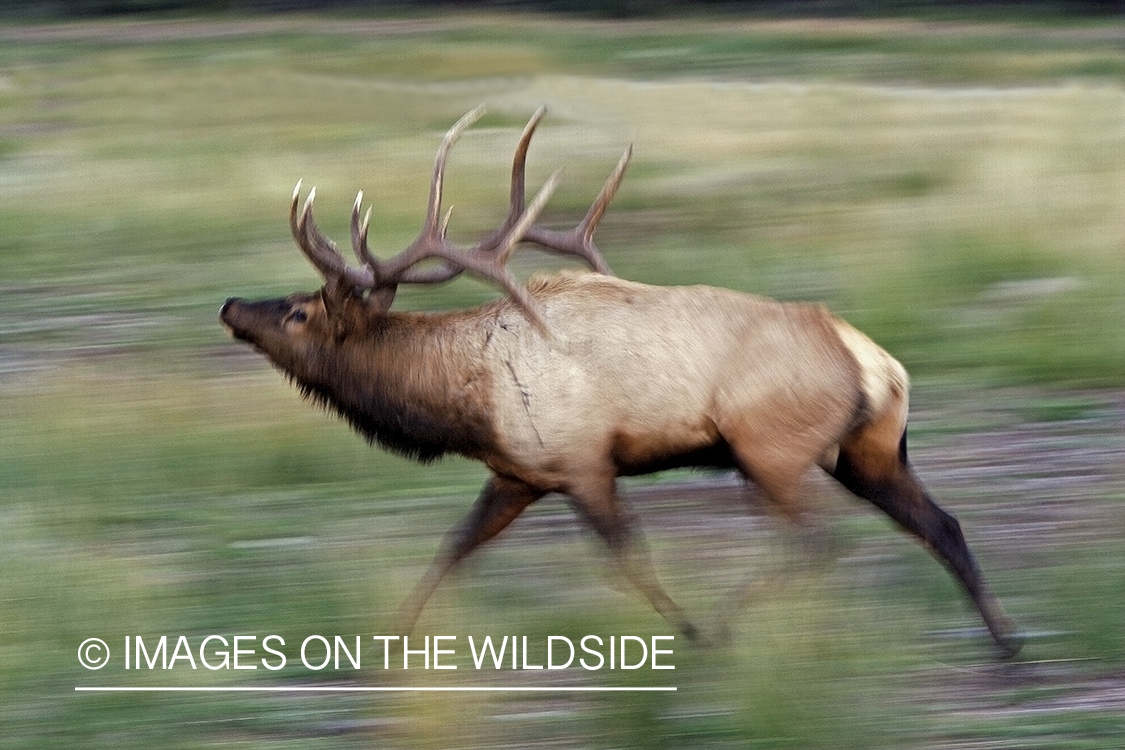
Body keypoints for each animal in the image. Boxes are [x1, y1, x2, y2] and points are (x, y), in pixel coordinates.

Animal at [220, 106, 1023, 658]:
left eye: (297, 311)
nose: (230, 305)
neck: (465, 403)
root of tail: (874, 361)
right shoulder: (518, 472)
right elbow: (453, 547)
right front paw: (387, 638)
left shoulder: (584, 461)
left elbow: (629, 559)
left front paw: (689, 630)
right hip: (870, 450)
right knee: (939, 524)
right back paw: (1008, 640)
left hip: (770, 449)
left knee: (815, 541)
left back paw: (725, 627)